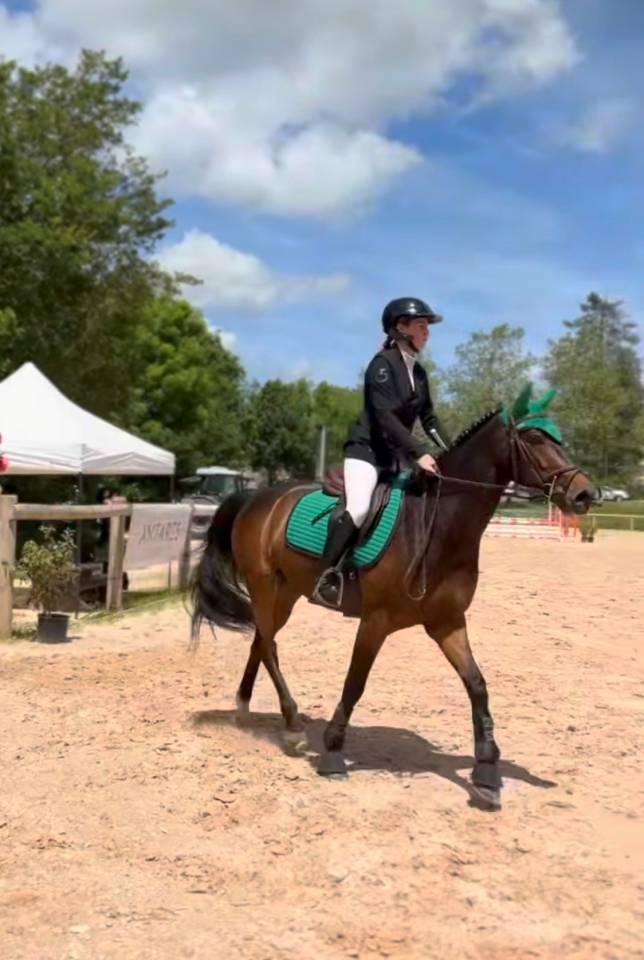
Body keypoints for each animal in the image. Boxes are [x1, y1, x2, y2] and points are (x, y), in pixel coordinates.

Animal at [191, 385, 596, 808]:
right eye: (534, 439)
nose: (587, 493)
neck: (438, 523)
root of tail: (256, 497)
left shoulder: (447, 622)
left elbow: (477, 686)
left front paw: (486, 771)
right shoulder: (376, 620)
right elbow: (355, 683)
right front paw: (333, 752)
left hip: (286, 592)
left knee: (261, 640)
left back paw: (249, 711)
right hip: (264, 585)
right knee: (269, 646)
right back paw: (292, 726)